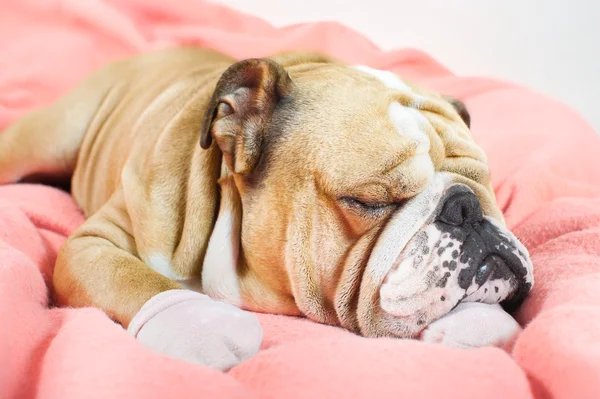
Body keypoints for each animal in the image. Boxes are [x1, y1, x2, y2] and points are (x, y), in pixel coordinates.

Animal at [0, 47, 536, 372]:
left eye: (484, 181)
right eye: (368, 201)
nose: (466, 208)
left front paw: (478, 322)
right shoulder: (93, 244)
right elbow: (130, 277)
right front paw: (202, 325)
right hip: (46, 139)